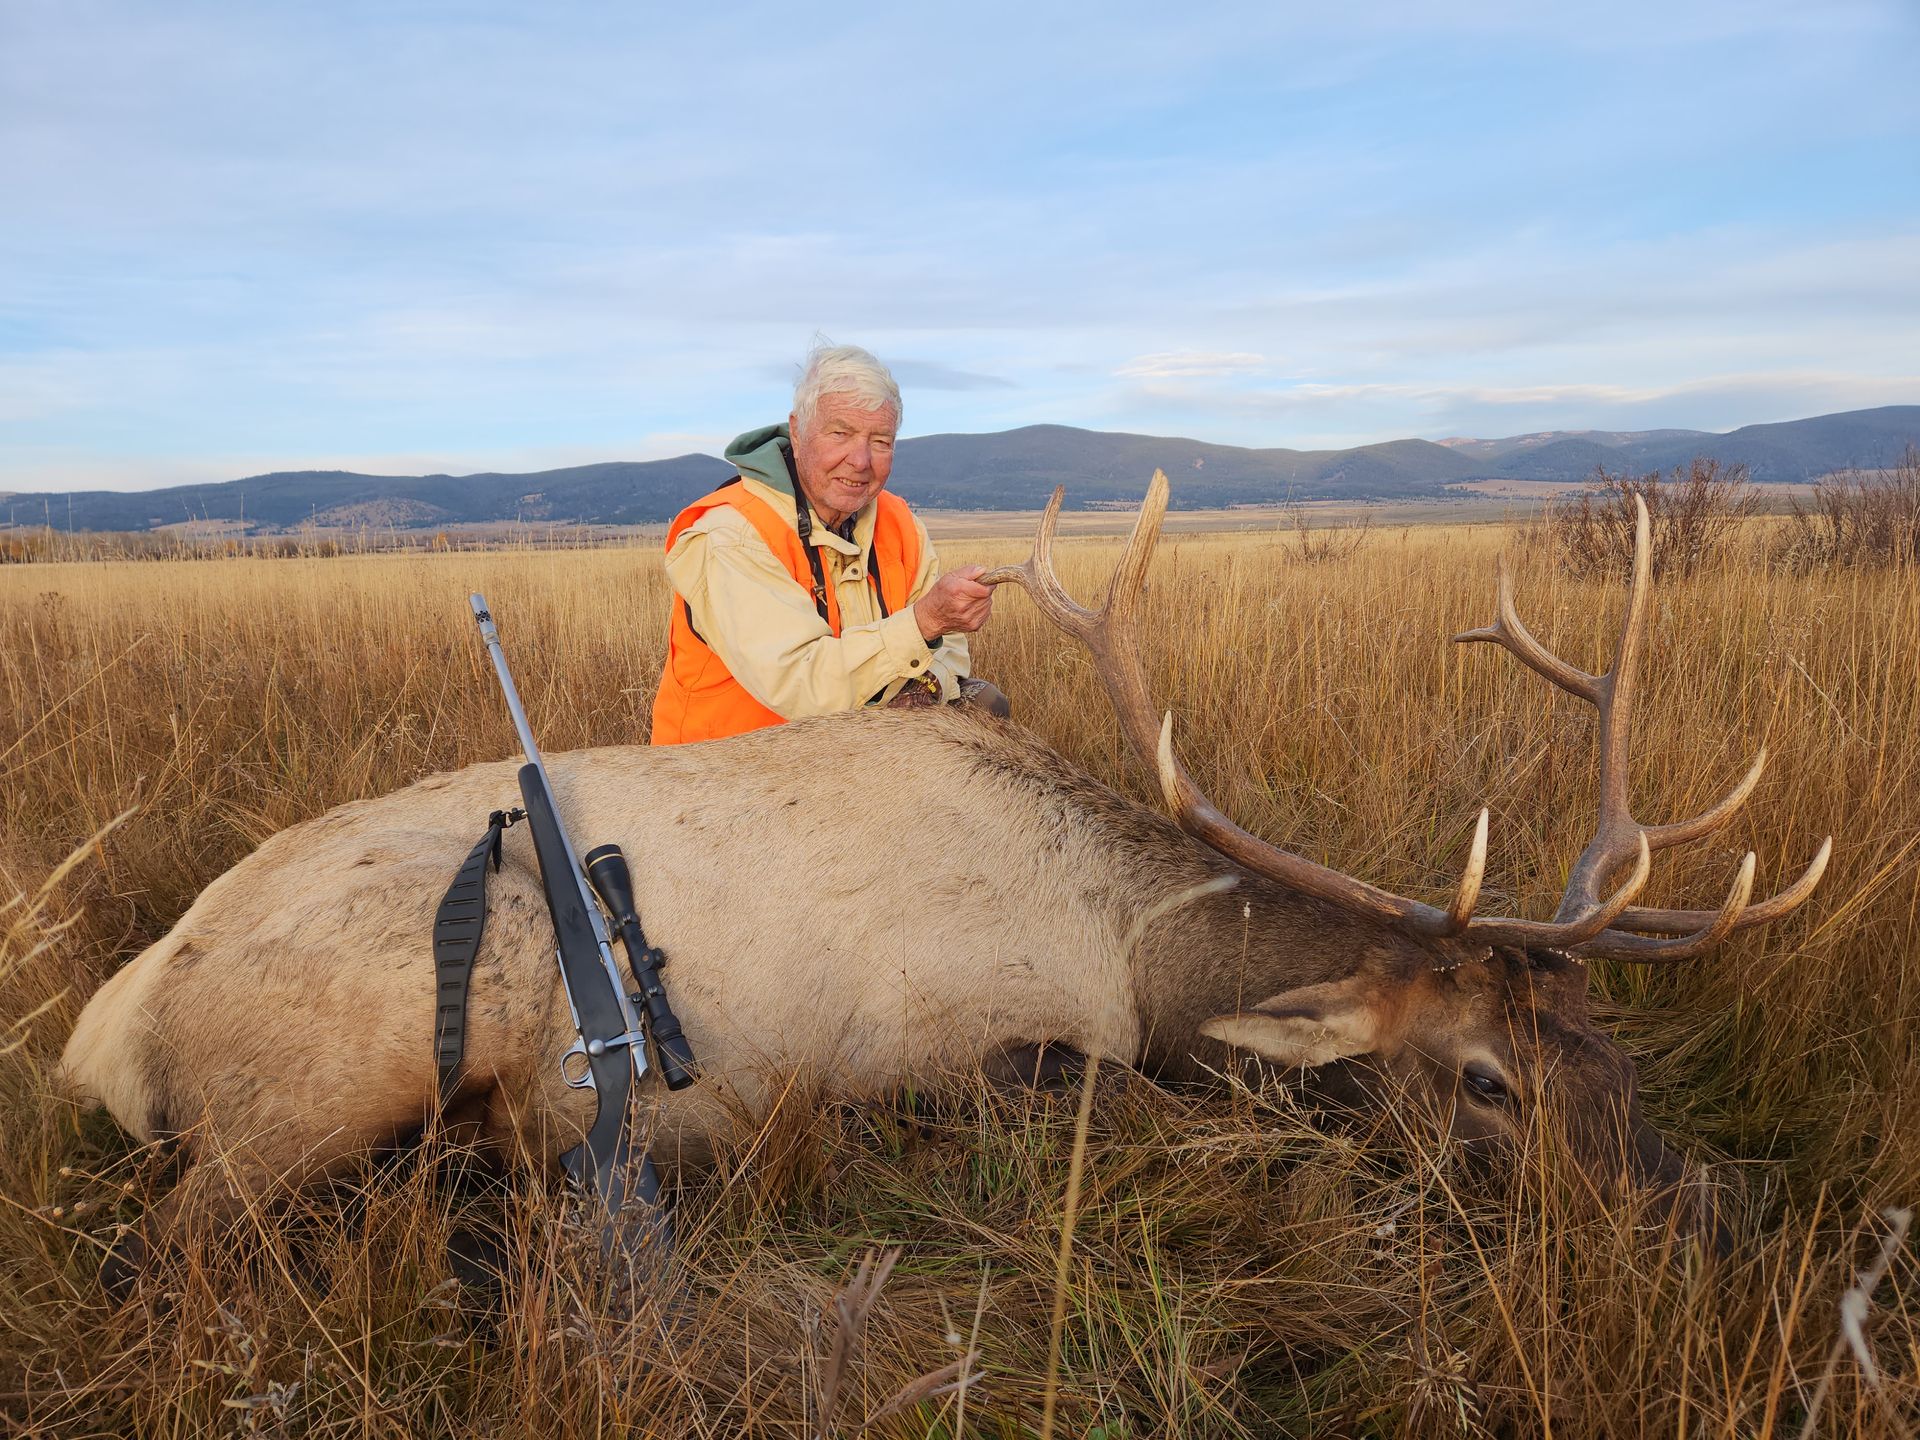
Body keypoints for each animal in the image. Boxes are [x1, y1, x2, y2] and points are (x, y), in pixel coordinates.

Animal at [59, 473, 1828, 1277]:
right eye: (1481, 1082)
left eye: (1598, 1045)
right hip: (311, 1091)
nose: (1714, 1216)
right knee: (186, 1250)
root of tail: (106, 1029)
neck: (1129, 947)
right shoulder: (953, 1053)